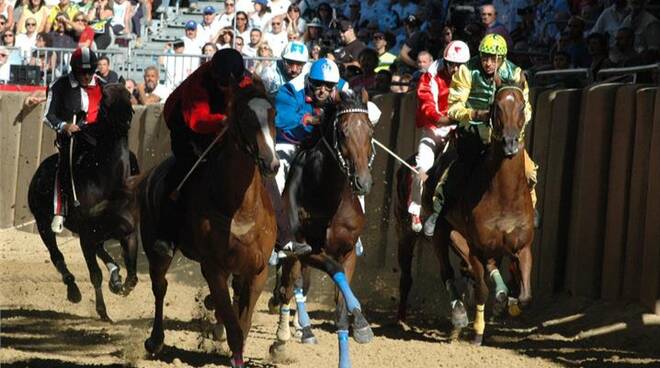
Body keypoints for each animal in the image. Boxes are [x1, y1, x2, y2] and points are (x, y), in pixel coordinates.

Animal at [27, 82, 140, 320]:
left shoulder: (128, 232)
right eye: (105, 100)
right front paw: (103, 312)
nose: (125, 119)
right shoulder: (87, 234)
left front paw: (121, 285)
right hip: (43, 224)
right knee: (56, 255)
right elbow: (95, 274)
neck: (107, 181)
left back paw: (115, 276)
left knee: (102, 252)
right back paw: (73, 290)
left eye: (128, 95)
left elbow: (133, 276)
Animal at [139, 80, 282, 368]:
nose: (271, 163)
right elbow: (234, 326)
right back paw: (156, 340)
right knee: (160, 286)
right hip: (155, 248)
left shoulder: (257, 271)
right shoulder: (214, 268)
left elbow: (243, 322)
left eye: (273, 115)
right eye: (245, 117)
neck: (240, 209)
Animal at [270, 89, 376, 368]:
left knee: (294, 285)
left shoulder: (348, 252)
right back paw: (282, 338)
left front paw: (359, 329)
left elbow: (341, 306)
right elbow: (331, 270)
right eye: (343, 132)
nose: (363, 182)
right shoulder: (306, 250)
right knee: (287, 287)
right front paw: (361, 321)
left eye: (370, 130)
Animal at [394, 78, 532, 344]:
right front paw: (477, 330)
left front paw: (506, 303)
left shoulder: (521, 246)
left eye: (522, 106)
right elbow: (482, 288)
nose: (510, 143)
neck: (504, 195)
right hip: (420, 232)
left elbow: (524, 296)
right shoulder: (478, 246)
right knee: (433, 272)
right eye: (497, 107)